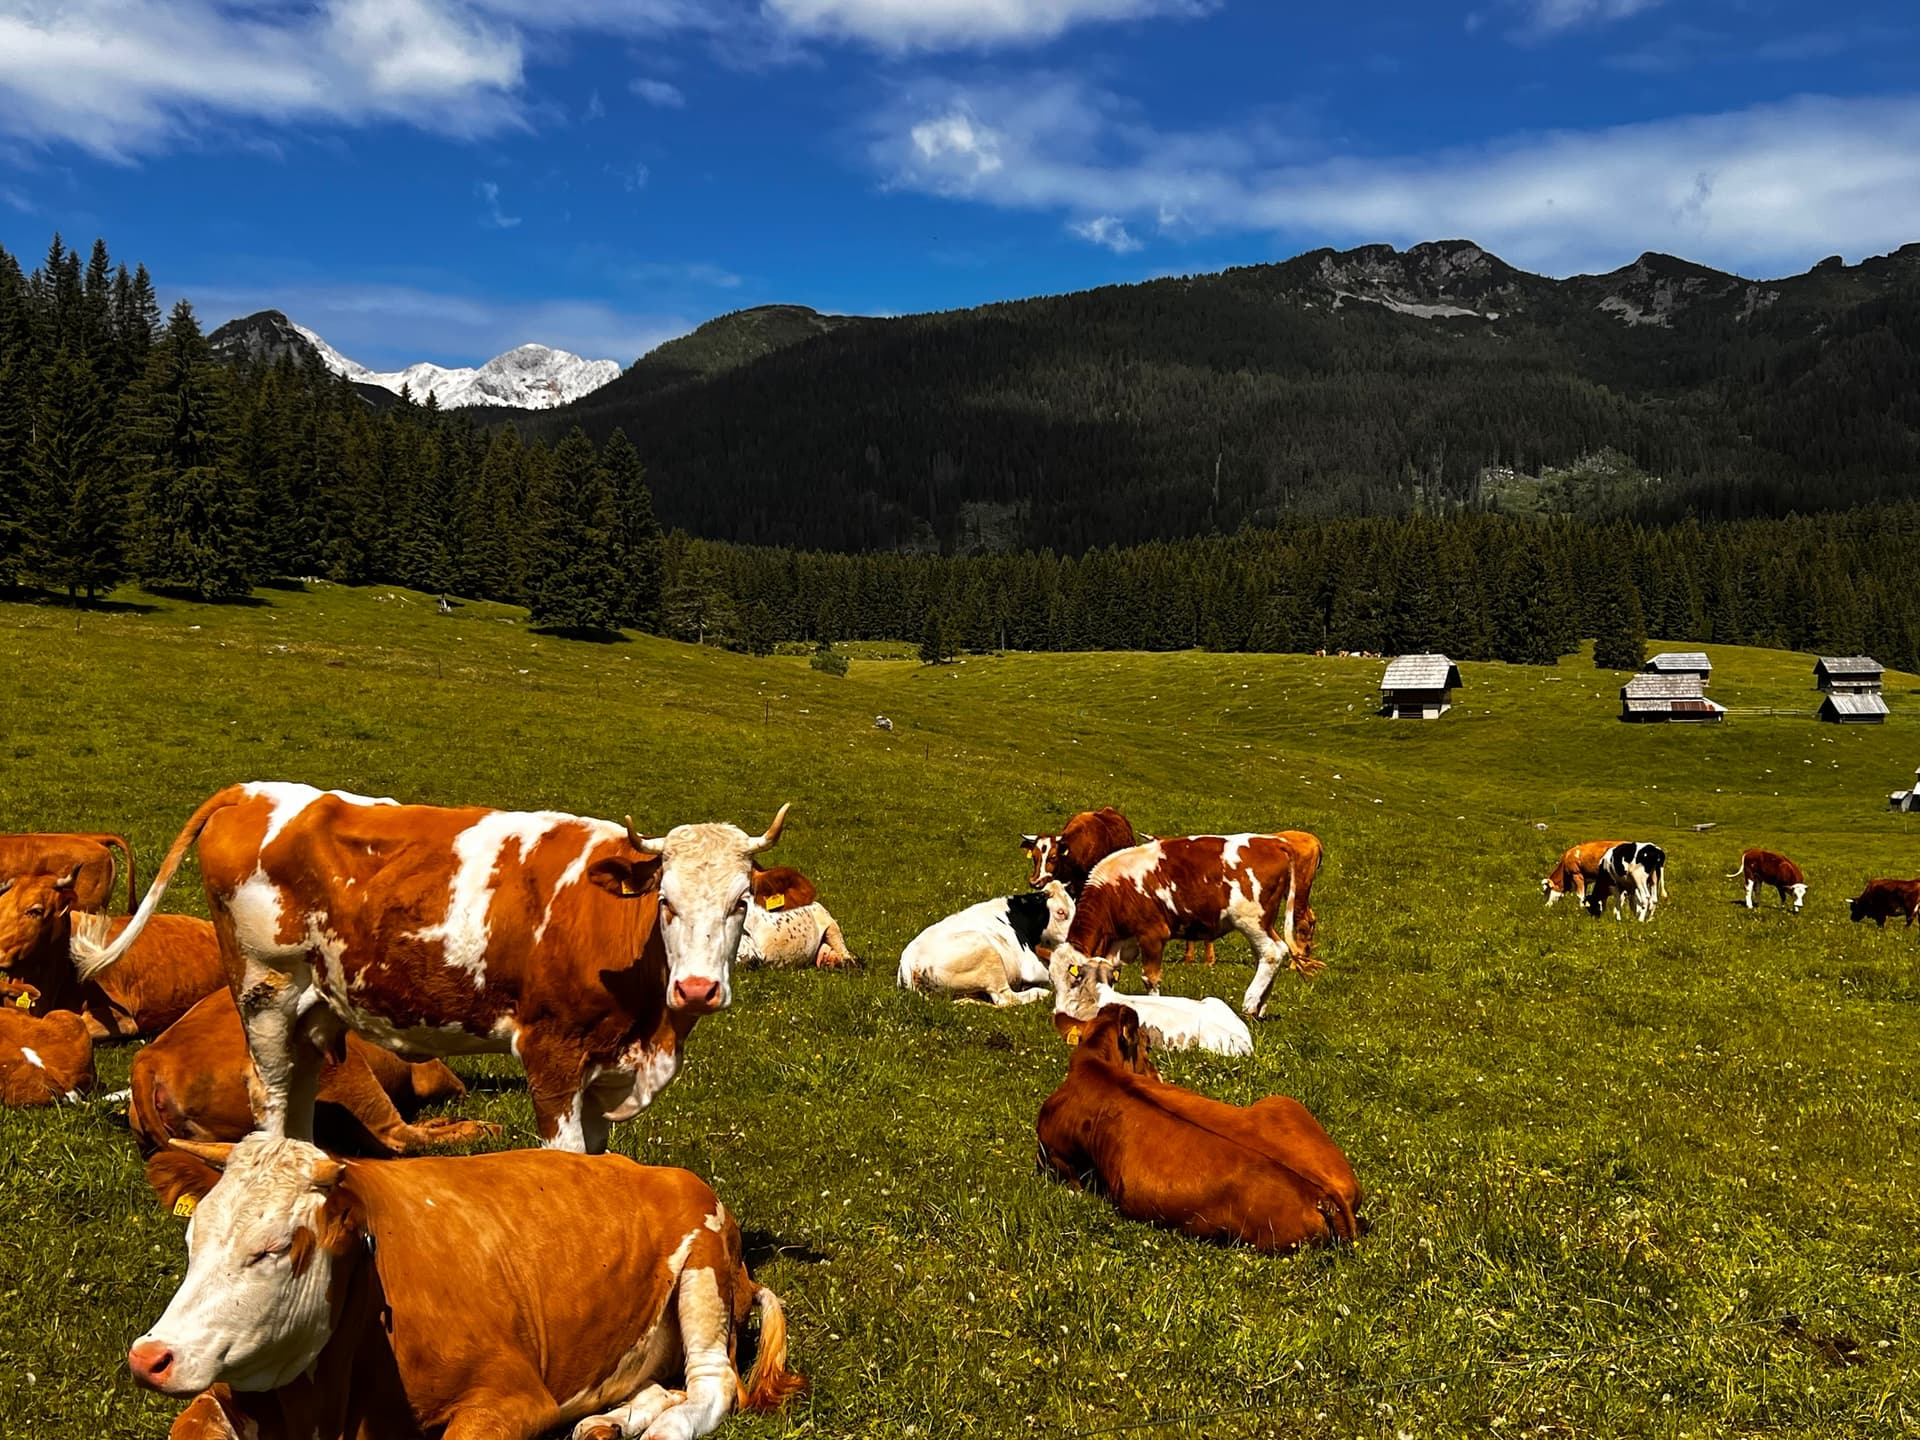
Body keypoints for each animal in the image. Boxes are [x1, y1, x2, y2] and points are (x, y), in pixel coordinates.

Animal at [130, 1135, 804, 1440]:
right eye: (191, 1239)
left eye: (270, 1249)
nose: (149, 1357)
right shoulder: (229, 1392)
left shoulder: (512, 1398)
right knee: (664, 1385)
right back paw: (612, 1422)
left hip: (703, 1269)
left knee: (714, 1383)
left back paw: (664, 1428)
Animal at [897, 883, 1073, 1007]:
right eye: (1061, 912)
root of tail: (909, 961)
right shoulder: (1030, 966)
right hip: (988, 955)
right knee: (1005, 998)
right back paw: (1039, 993)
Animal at [1035, 1007, 1360, 1252]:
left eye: (1147, 1044)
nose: (1159, 1077)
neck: (1093, 1063)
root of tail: (1324, 1190)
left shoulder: (1055, 1153)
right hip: (1283, 1101)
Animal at [1048, 832, 1322, 1019]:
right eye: (1052, 980)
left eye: (1073, 979)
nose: (1059, 1013)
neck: (1115, 889)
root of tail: (1273, 841)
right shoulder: (1122, 941)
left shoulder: (1153, 934)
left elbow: (1150, 978)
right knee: (1270, 953)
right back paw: (1261, 1006)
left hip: (1251, 919)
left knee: (1272, 952)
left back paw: (1250, 1004)